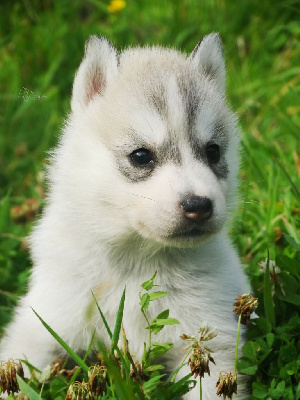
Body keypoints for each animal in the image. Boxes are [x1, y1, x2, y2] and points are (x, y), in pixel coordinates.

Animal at [0, 33, 248, 396]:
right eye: (141, 156)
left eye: (213, 151)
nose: (199, 206)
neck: (136, 263)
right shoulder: (40, 328)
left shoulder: (208, 346)